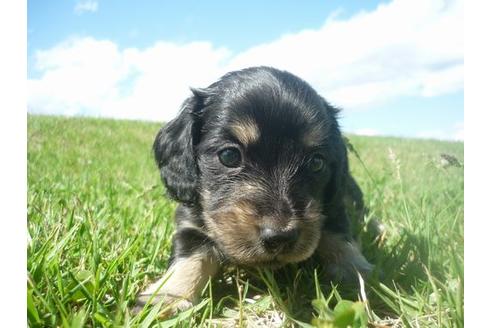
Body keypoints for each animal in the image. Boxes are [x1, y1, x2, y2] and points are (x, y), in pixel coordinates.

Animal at [133, 66, 370, 316]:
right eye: (229, 156)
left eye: (316, 163)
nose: (280, 238)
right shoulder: (190, 223)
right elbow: (190, 256)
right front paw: (168, 296)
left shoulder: (334, 207)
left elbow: (339, 236)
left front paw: (357, 273)